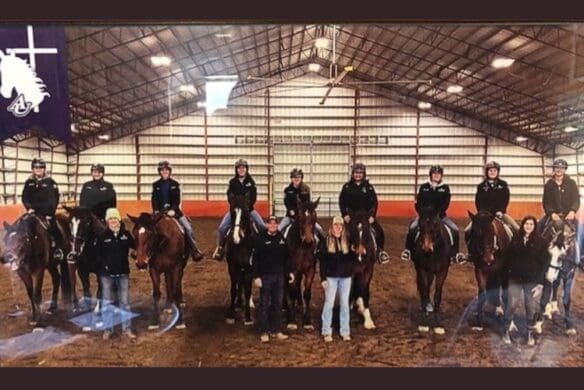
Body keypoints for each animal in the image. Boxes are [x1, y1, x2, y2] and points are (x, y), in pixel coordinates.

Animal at [282, 198, 320, 330]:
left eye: (314, 217)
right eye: (300, 217)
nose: (309, 241)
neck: (303, 248)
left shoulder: (309, 270)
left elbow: (307, 294)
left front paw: (307, 321)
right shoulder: (291, 270)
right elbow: (292, 292)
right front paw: (292, 321)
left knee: (298, 285)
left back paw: (298, 305)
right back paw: (285, 306)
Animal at [410, 207, 452, 336]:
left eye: (436, 224)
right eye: (420, 225)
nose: (426, 248)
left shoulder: (442, 272)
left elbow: (437, 294)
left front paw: (437, 323)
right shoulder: (422, 269)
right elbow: (425, 292)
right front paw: (424, 322)